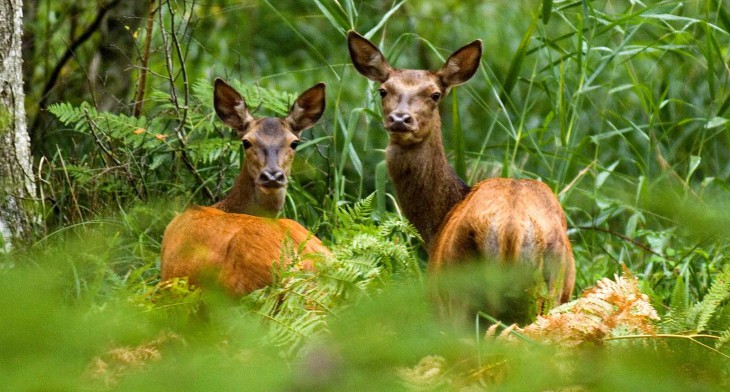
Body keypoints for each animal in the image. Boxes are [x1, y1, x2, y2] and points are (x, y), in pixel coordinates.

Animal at [346, 31, 576, 324]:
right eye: (383, 90)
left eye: (435, 94)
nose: (400, 119)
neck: (437, 221)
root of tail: (510, 230)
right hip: (551, 290)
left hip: (459, 291)